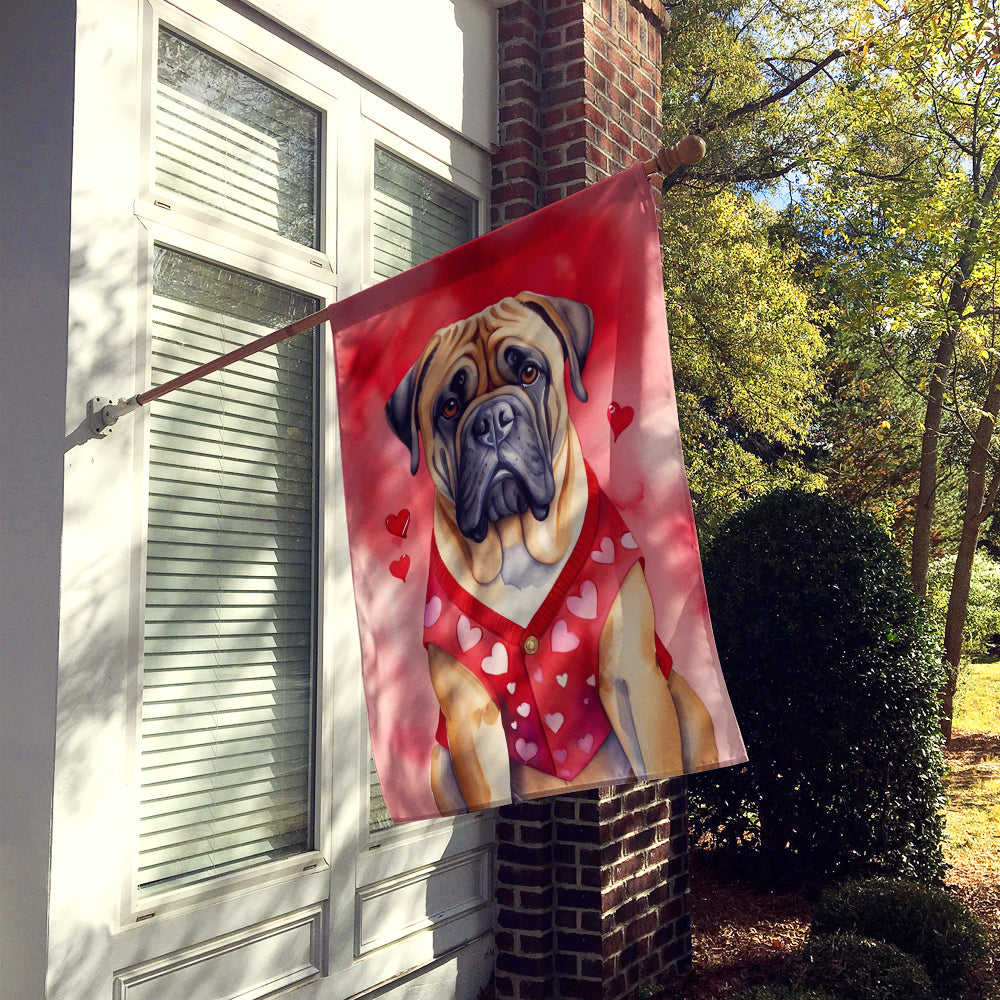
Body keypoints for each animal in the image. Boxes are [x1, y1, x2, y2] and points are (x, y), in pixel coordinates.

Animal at [384, 290, 720, 812]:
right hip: (441, 765)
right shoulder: (469, 720)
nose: (491, 420)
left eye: (529, 372)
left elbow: (656, 757)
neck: (516, 541)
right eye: (450, 407)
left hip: (688, 706)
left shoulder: (635, 679)